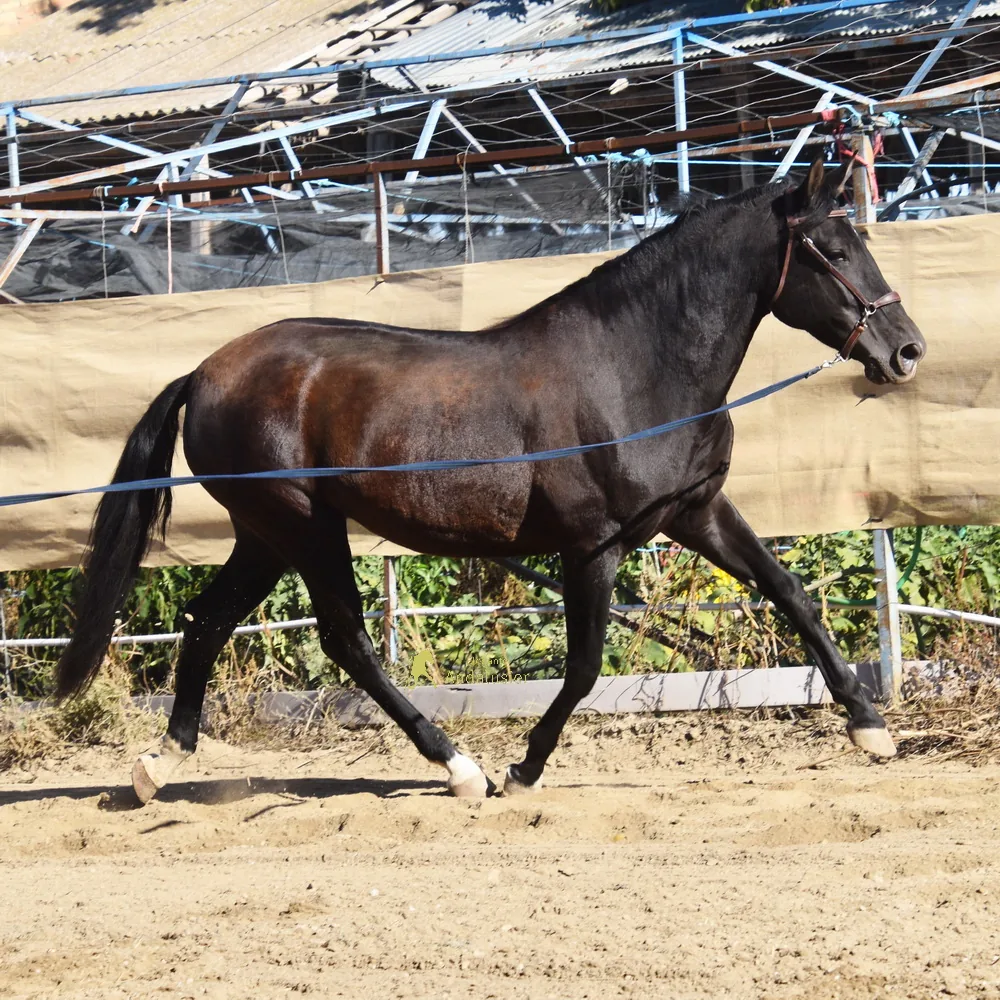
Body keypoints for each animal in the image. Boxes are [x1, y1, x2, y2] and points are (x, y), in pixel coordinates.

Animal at [54, 158, 926, 803]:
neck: (632, 370)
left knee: (209, 624)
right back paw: (460, 768)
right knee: (346, 640)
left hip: (265, 535)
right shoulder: (591, 547)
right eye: (833, 250)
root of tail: (204, 371)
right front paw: (524, 768)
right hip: (300, 524)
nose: (907, 350)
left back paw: (158, 766)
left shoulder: (696, 512)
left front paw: (870, 726)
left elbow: (792, 593)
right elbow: (583, 666)